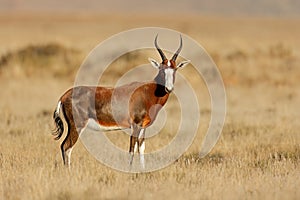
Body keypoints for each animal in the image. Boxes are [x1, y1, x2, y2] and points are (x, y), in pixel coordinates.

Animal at [51, 35, 190, 168]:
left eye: (175, 69)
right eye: (161, 69)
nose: (169, 88)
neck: (148, 91)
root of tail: (64, 96)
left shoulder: (143, 127)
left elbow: (141, 149)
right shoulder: (135, 126)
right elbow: (131, 149)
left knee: (64, 146)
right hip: (77, 126)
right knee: (66, 147)